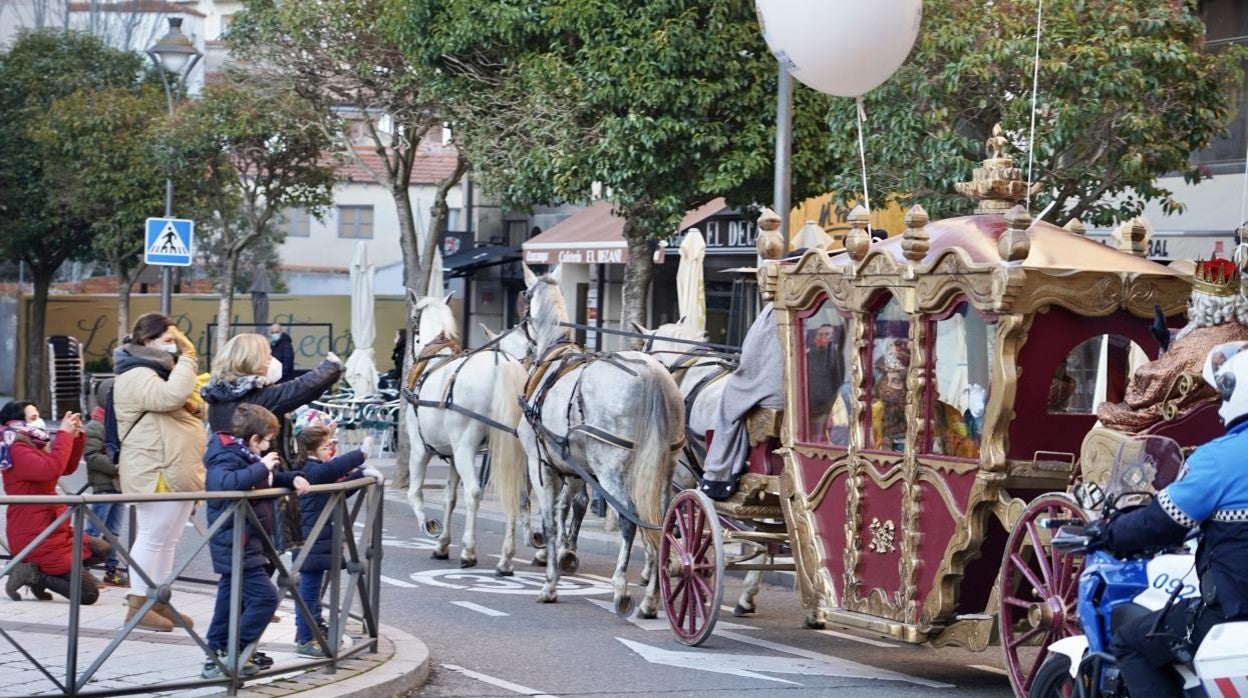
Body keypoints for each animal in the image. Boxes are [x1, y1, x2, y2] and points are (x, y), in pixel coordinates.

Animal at [404, 292, 531, 576]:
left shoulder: (420, 449)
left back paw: (469, 551)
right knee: (516, 496)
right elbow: (449, 498)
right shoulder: (451, 456)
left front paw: (429, 527)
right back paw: (506, 559)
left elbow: (415, 493)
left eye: (413, 321)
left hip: (466, 448)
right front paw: (442, 545)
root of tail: (502, 364)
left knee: (473, 492)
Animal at [499, 264, 688, 614]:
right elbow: (572, 507)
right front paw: (563, 554)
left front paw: (550, 581)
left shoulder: (541, 465)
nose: (524, 348)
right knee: (662, 523)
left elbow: (551, 519)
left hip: (612, 469)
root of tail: (653, 373)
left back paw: (622, 588)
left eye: (523, 298)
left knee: (630, 520)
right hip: (662, 469)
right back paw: (652, 598)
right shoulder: (575, 468)